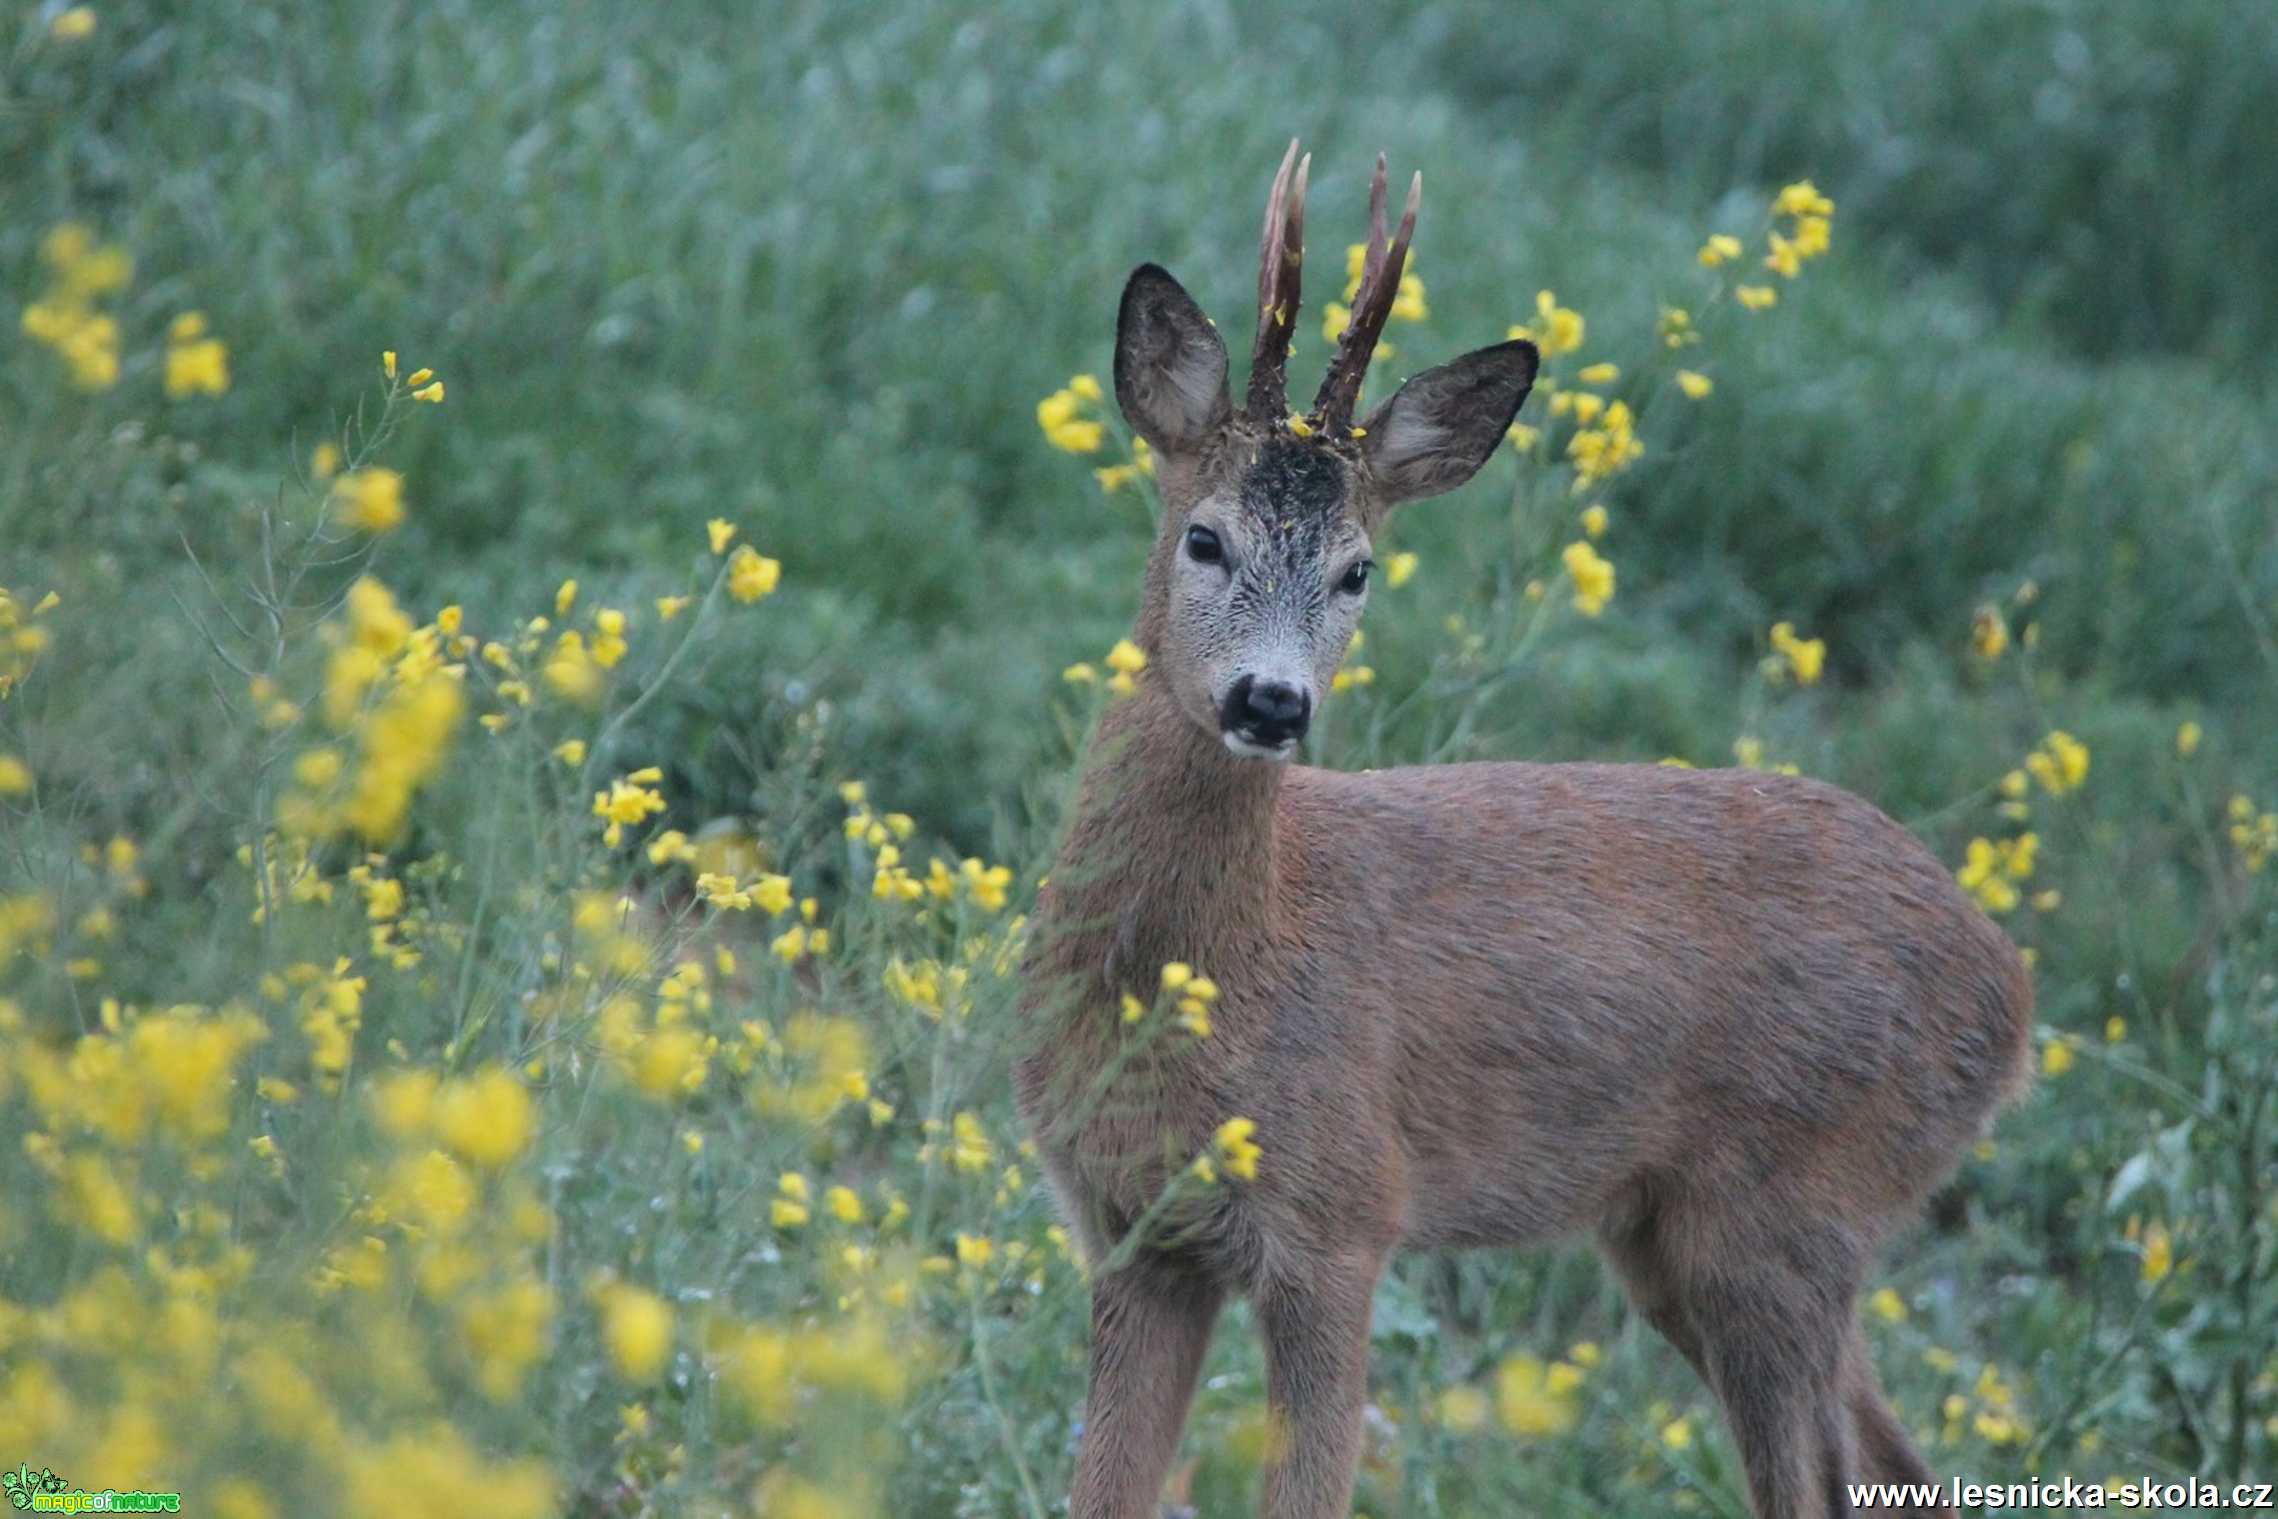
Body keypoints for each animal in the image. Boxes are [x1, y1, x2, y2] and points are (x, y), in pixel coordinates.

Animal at [1015, 142, 2031, 1519]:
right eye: (1204, 536)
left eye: (1358, 570)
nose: (1272, 702)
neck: (1209, 967)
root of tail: (2013, 990)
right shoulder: (1131, 1228)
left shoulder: (1344, 1210)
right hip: (1677, 1235)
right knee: (1901, 1456)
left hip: (1788, 1210)